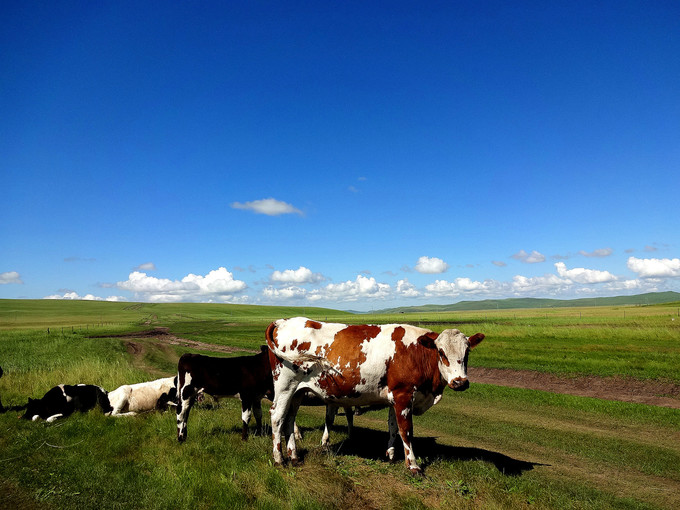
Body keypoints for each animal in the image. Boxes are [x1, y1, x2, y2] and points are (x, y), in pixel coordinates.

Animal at [266, 316, 484, 472]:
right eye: (441, 352)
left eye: (467, 353)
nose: (460, 382)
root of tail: (284, 321)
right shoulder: (404, 395)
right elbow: (406, 430)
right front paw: (413, 465)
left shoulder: (394, 398)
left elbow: (393, 427)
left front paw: (391, 454)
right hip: (285, 386)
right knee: (277, 417)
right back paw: (279, 459)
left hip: (298, 392)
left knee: (289, 419)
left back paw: (294, 456)